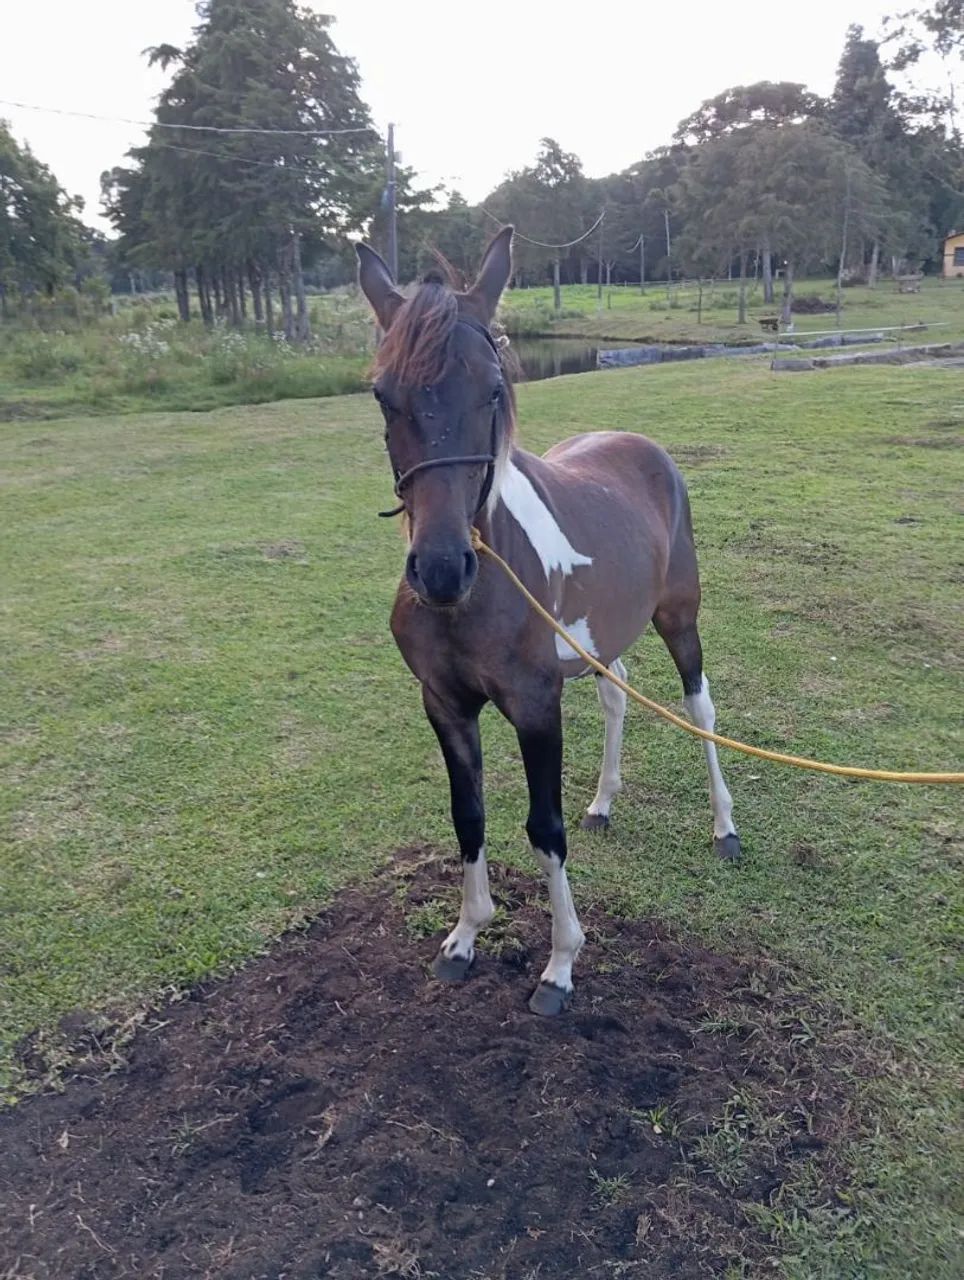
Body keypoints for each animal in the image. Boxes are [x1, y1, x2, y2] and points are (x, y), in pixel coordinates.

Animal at [356, 227, 741, 1016]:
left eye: (494, 388)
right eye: (383, 394)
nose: (441, 569)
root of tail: (641, 446)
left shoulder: (537, 706)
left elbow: (544, 827)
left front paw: (561, 963)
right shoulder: (445, 706)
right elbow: (468, 816)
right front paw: (465, 936)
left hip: (679, 617)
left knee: (701, 707)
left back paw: (724, 825)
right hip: (600, 638)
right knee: (617, 692)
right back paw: (604, 802)